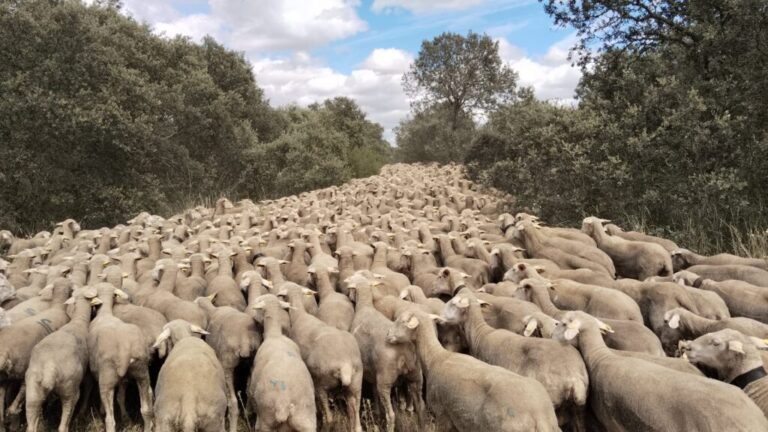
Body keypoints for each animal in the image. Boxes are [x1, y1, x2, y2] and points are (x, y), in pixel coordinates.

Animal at [24, 286, 97, 432]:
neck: (79, 321)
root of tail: (49, 368)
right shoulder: (87, 370)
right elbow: (89, 385)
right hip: (70, 390)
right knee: (64, 422)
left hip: (32, 391)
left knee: (31, 423)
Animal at [87, 283, 153, 432]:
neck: (105, 313)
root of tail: (125, 349)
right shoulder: (125, 379)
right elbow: (121, 397)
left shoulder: (98, 373)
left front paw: (102, 409)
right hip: (141, 372)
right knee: (145, 409)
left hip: (107, 379)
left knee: (110, 420)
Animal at [194, 295, 261, 432]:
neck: (212, 311)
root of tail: (245, 341)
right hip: (252, 361)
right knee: (249, 392)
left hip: (227, 365)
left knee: (233, 403)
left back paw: (233, 426)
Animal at [279, 284, 364, 432]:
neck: (299, 315)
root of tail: (345, 364)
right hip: (356, 384)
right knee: (356, 420)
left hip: (322, 383)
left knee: (329, 418)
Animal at [347, 275, 424, 432]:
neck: (365, 307)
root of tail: (402, 350)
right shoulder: (372, 371)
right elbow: (374, 392)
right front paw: (377, 411)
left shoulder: (371, 373)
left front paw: (377, 412)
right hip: (415, 375)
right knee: (420, 407)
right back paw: (421, 426)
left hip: (385, 380)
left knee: (391, 415)